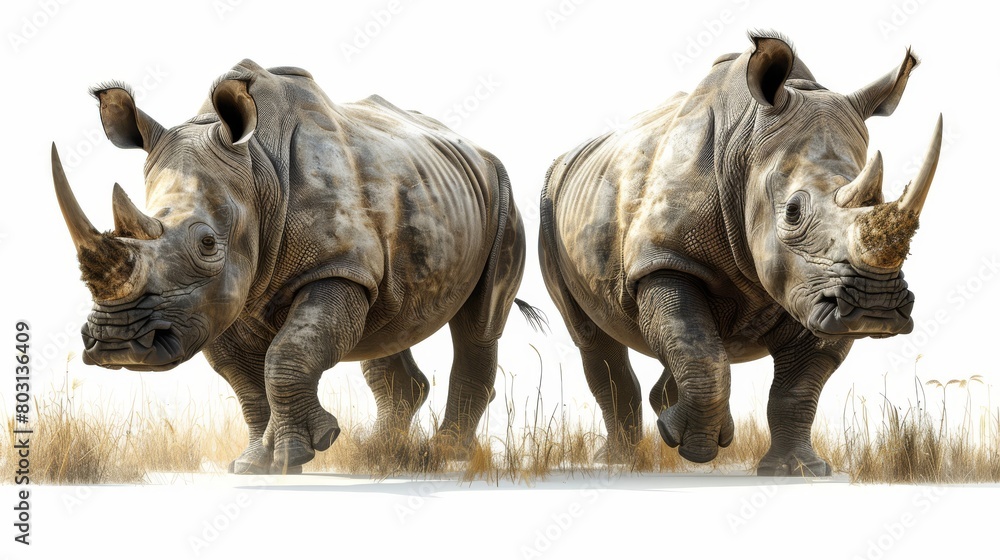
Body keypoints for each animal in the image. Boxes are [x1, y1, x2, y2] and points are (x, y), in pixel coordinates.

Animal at [52, 59, 539, 473]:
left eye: (207, 243)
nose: (119, 343)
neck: (256, 173)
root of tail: (478, 150)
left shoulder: (334, 266)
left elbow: (289, 353)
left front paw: (295, 454)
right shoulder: (218, 301)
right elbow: (243, 380)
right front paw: (254, 463)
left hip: (504, 198)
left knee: (479, 323)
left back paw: (444, 455)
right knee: (388, 324)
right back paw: (382, 451)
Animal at [539, 32, 941, 475]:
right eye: (793, 212)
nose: (876, 304)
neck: (746, 147)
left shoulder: (816, 290)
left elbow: (798, 387)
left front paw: (796, 470)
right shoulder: (665, 258)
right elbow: (699, 351)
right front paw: (698, 449)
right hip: (548, 203)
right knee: (594, 337)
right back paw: (619, 462)